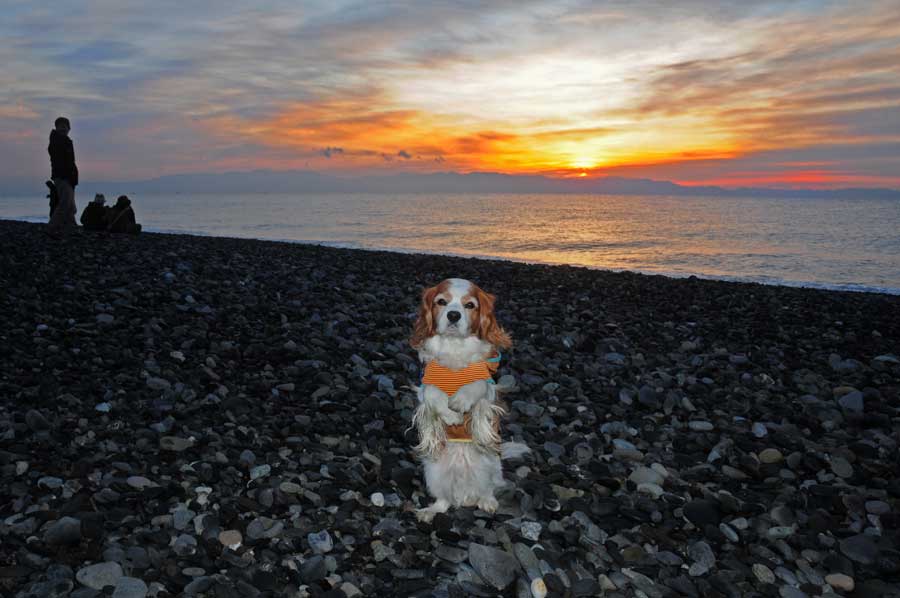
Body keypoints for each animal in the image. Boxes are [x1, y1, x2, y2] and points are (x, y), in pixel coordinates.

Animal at [410, 278, 528, 524]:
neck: (455, 349)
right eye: (441, 302)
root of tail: (464, 494)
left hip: (491, 464)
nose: (453, 315)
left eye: (470, 305)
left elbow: (476, 384)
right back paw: (430, 511)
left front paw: (460, 403)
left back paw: (487, 502)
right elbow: (434, 394)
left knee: (488, 489)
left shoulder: (489, 386)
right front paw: (450, 415)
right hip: (433, 471)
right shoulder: (425, 385)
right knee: (444, 501)